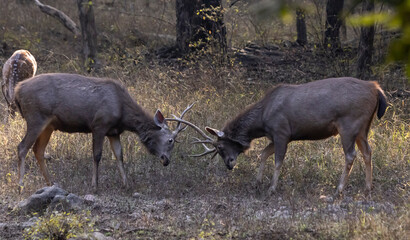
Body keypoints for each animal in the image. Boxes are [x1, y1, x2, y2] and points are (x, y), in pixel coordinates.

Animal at [12, 72, 192, 191]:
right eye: (170, 140)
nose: (166, 160)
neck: (123, 113)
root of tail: (17, 90)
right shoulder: (99, 125)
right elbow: (97, 155)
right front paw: (94, 185)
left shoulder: (114, 132)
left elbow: (119, 155)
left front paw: (126, 184)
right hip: (36, 117)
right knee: (22, 147)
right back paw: (20, 184)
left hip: (49, 125)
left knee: (38, 150)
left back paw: (51, 183)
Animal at [169, 78, 388, 198]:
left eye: (221, 147)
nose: (229, 164)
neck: (262, 118)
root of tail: (377, 89)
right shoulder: (278, 136)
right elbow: (263, 154)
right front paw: (256, 182)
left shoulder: (281, 131)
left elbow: (277, 161)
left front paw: (272, 188)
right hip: (363, 128)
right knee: (368, 151)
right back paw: (368, 188)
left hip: (349, 124)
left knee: (350, 155)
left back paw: (338, 190)